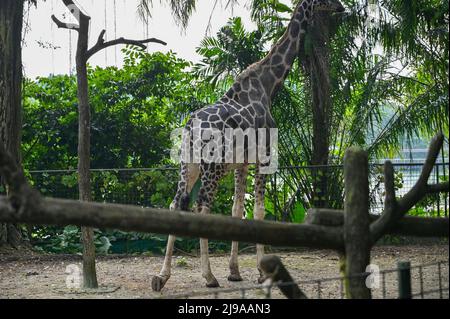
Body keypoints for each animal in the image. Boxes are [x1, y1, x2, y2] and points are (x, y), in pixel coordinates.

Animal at [151, 0, 344, 292]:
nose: (342, 8)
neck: (269, 84)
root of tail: (191, 125)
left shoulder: (241, 164)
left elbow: (237, 211)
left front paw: (235, 271)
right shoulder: (265, 156)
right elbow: (259, 211)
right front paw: (261, 272)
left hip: (188, 165)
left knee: (176, 205)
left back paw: (161, 276)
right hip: (213, 167)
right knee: (201, 207)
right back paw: (209, 277)